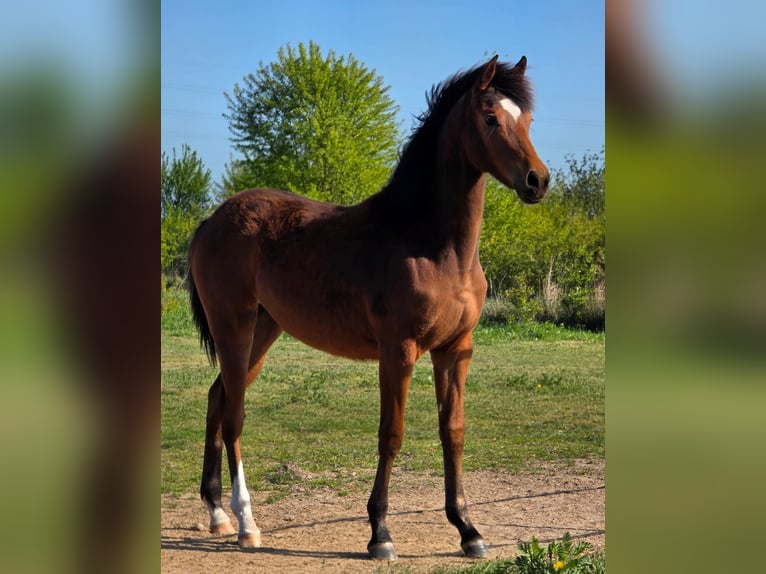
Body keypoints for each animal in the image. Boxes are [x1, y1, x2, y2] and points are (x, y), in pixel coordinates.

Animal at [187, 54, 549, 560]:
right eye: (490, 118)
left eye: (529, 120)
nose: (538, 181)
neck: (430, 243)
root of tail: (211, 221)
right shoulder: (398, 351)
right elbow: (391, 435)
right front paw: (380, 533)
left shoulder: (456, 350)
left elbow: (453, 431)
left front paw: (468, 530)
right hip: (233, 327)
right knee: (234, 414)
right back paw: (246, 523)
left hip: (262, 330)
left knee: (217, 398)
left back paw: (217, 513)